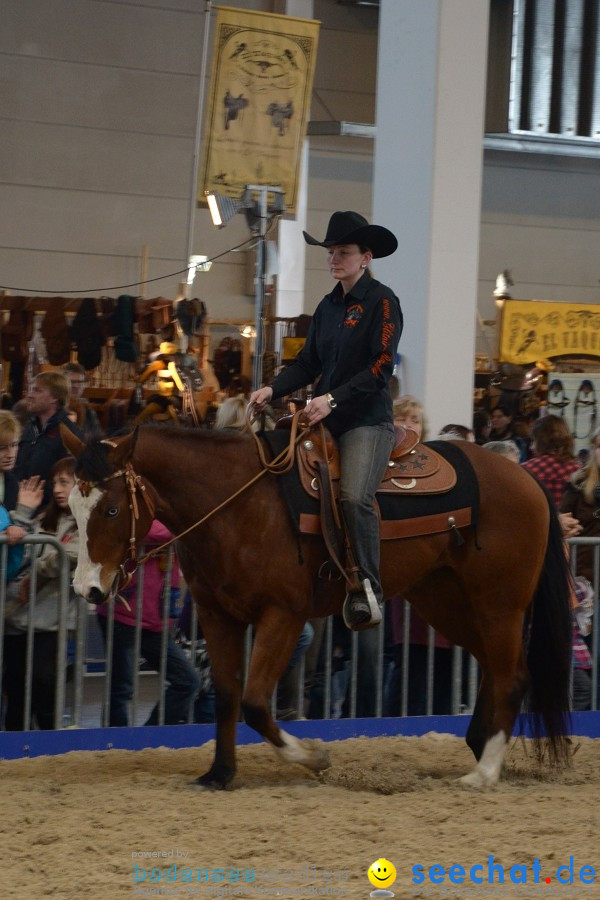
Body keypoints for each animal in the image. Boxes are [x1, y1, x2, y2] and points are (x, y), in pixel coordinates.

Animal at [63, 426, 576, 792]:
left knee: (512, 677)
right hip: (443, 600)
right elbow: (228, 696)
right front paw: (219, 774)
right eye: (72, 506)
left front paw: (314, 757)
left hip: (498, 604)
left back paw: (485, 771)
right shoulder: (217, 616)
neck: (236, 505)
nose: (88, 589)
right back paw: (479, 746)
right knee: (495, 667)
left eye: (111, 509)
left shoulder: (282, 616)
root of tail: (526, 479)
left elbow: (254, 703)